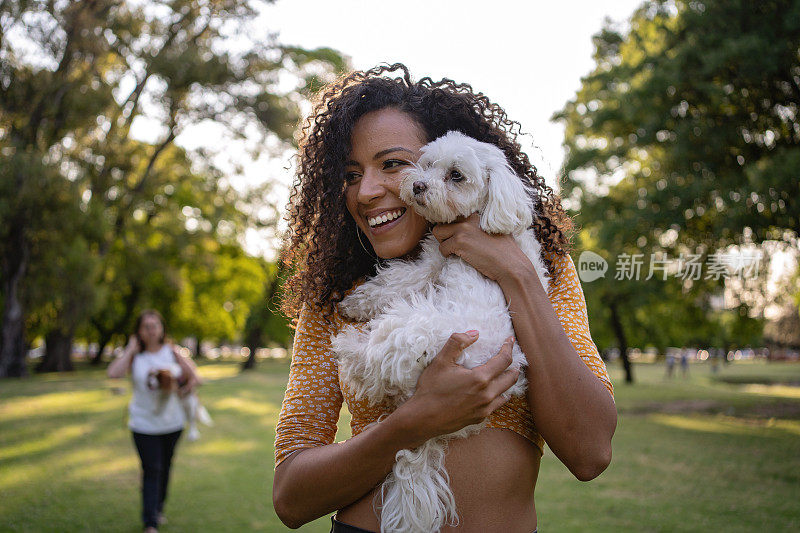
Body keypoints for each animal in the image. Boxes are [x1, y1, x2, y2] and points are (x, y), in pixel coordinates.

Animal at [332, 130, 552, 532]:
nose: (418, 185)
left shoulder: (433, 263)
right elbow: (395, 278)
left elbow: (399, 279)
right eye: (429, 164)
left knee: (374, 360)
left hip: (419, 326)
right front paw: (357, 302)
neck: (483, 215)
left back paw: (349, 346)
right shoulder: (434, 260)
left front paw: (356, 306)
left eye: (456, 176)